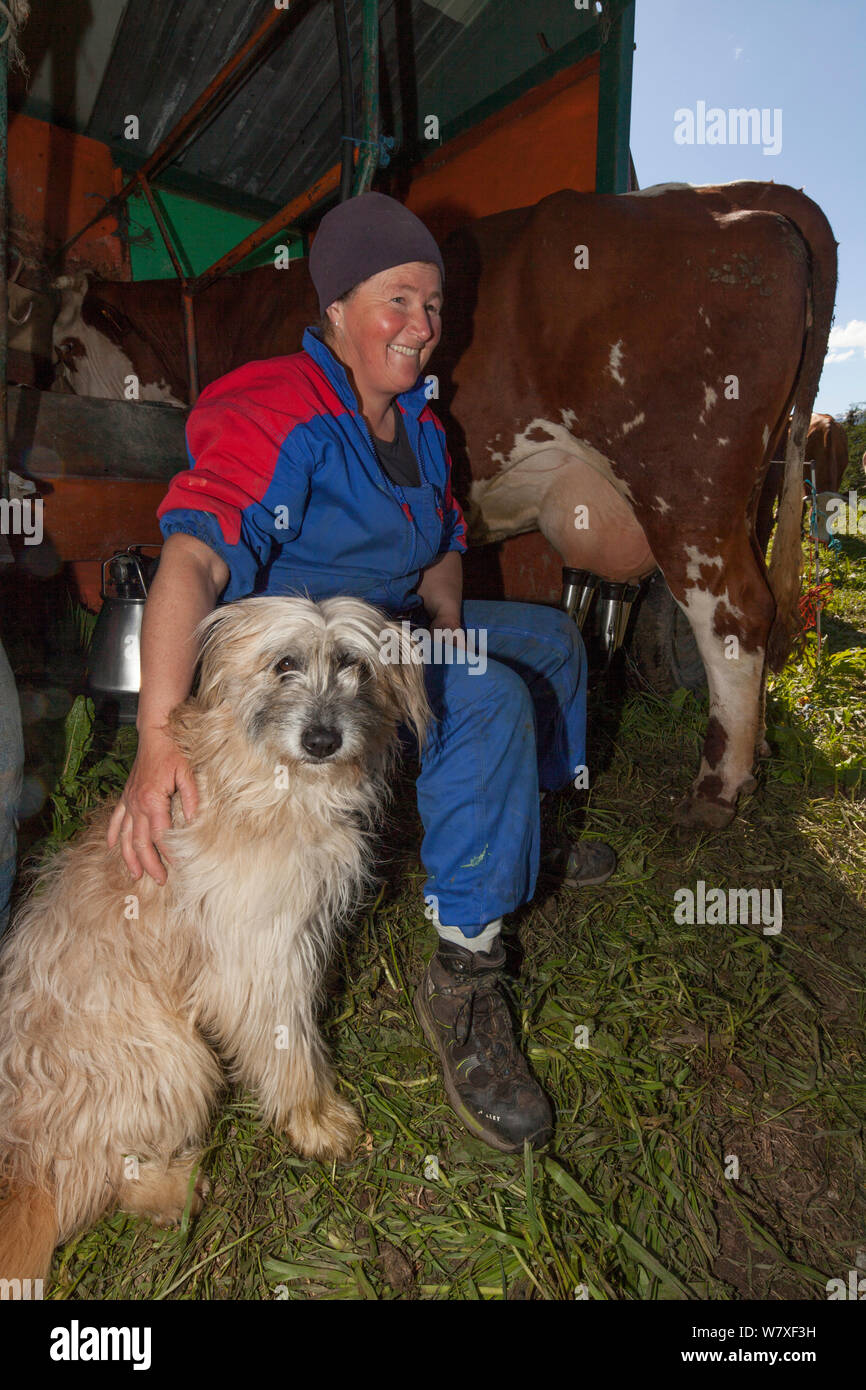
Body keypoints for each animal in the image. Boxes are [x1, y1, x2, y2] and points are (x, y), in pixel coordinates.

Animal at [0, 597, 430, 1278]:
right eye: (284, 664)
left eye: (355, 665)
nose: (323, 740)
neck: (270, 783)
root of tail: (27, 1168)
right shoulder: (258, 962)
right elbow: (291, 1049)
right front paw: (315, 1121)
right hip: (174, 1054)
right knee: (99, 1180)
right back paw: (172, 1189)